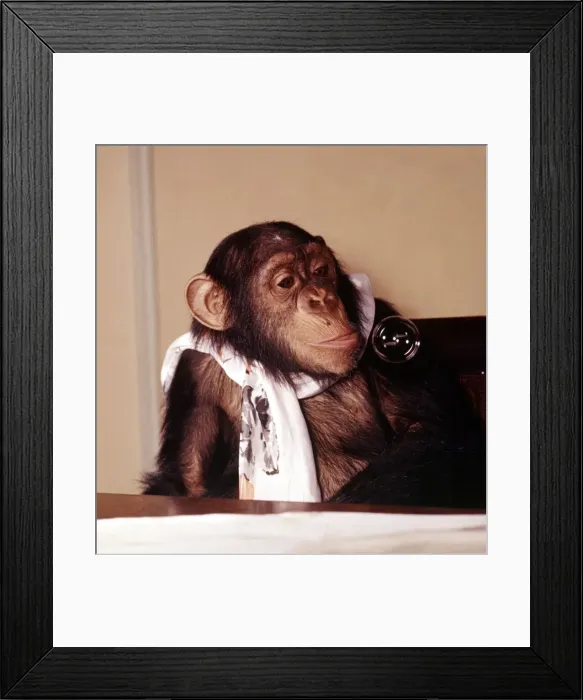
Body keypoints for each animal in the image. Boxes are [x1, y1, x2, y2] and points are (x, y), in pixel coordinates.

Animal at [142, 221, 486, 508]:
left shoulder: (388, 331)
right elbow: (187, 481)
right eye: (285, 282)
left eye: (321, 270)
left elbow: (432, 433)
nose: (322, 298)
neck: (286, 368)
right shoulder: (193, 371)